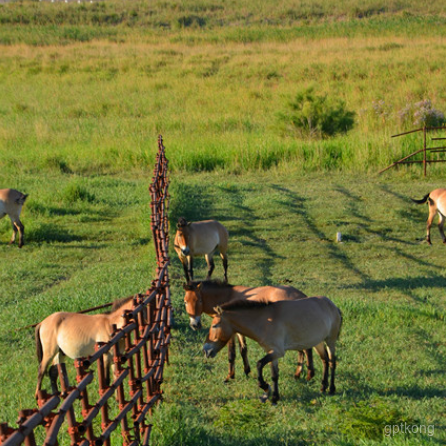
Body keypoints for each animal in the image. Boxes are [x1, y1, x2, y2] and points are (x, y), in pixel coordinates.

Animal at [183, 280, 316, 382]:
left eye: (200, 301)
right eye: (185, 301)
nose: (195, 325)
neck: (228, 296)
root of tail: (301, 296)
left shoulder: (231, 332)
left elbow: (232, 354)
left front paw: (230, 376)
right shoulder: (239, 331)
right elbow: (243, 349)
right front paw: (246, 371)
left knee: (305, 350)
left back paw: (306, 375)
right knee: (302, 349)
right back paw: (298, 374)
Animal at [204, 296, 344, 404]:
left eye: (214, 325)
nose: (206, 350)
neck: (264, 322)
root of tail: (332, 306)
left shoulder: (277, 352)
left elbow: (259, 364)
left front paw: (266, 389)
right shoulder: (272, 353)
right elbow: (274, 375)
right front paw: (275, 397)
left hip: (330, 341)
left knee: (332, 362)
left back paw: (331, 389)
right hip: (318, 342)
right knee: (325, 361)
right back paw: (323, 387)